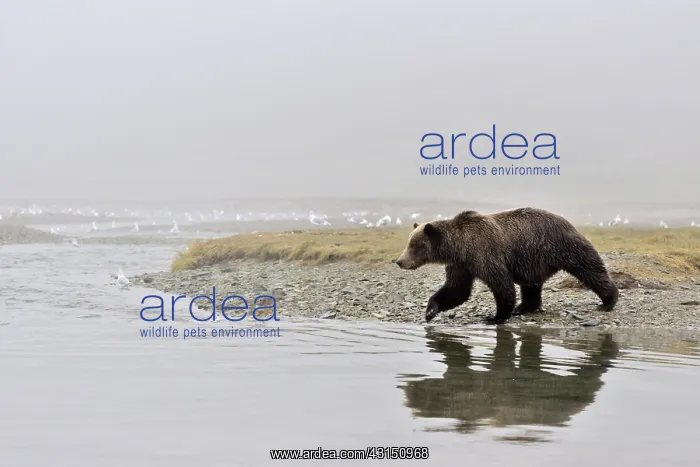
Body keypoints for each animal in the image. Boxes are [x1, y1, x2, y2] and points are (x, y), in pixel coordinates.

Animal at [394, 207, 619, 324]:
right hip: (532, 259)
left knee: (588, 267)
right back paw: (525, 308)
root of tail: (567, 221)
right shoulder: (461, 264)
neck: (460, 246)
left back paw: (608, 301)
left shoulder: (485, 254)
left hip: (560, 246)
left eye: (415, 245)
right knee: (531, 285)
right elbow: (456, 290)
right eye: (409, 242)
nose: (400, 261)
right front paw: (431, 310)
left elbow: (501, 285)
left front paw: (495, 317)